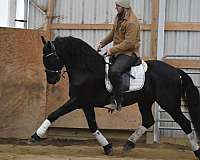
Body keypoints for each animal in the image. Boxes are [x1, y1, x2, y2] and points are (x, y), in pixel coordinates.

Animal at [30, 36, 200, 159]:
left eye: (51, 58)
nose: (51, 80)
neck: (86, 70)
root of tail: (175, 71)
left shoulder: (78, 101)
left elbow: (54, 114)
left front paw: (35, 136)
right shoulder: (86, 104)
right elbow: (92, 125)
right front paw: (107, 147)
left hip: (169, 103)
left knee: (185, 123)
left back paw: (197, 151)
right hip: (144, 101)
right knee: (148, 120)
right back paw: (129, 144)